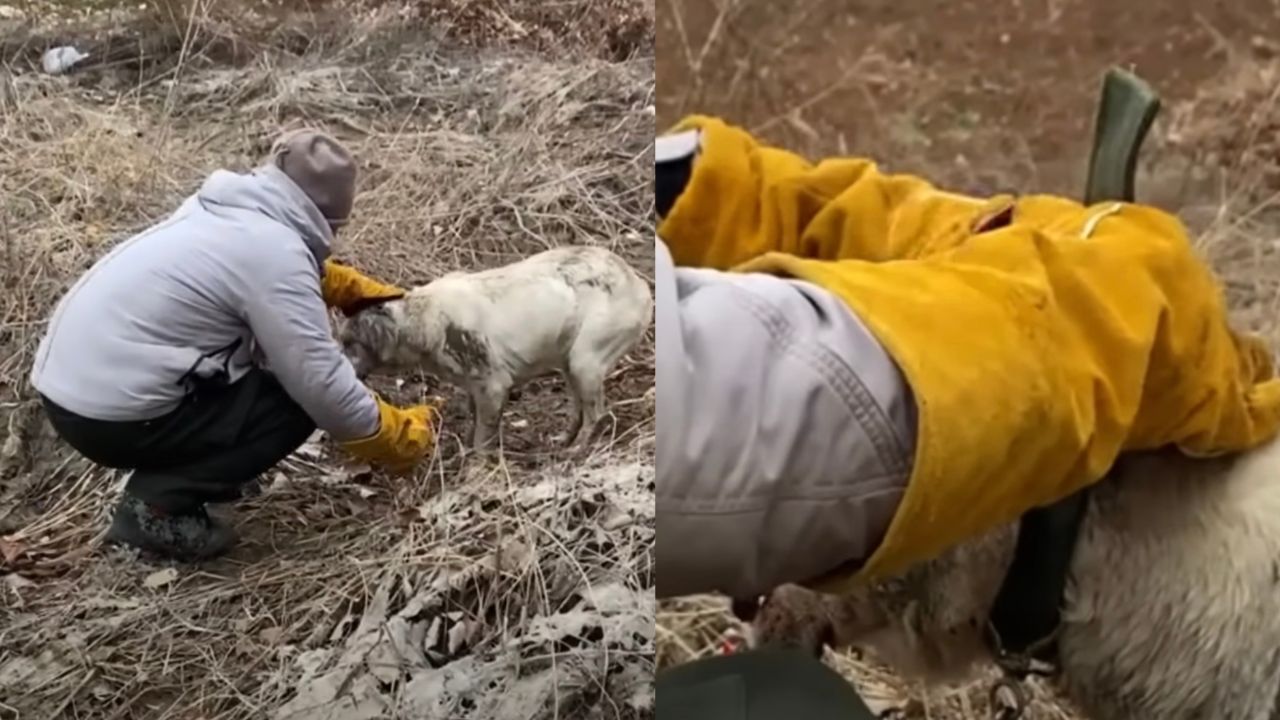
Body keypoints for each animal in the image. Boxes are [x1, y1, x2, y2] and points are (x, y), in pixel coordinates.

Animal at [337, 245, 650, 448]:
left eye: (351, 342)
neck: (425, 317)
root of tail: (641, 285)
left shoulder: (493, 384)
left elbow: (482, 434)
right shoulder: (474, 387)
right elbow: (473, 419)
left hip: (586, 359)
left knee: (596, 413)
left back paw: (577, 449)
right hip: (569, 364)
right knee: (580, 410)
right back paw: (562, 441)